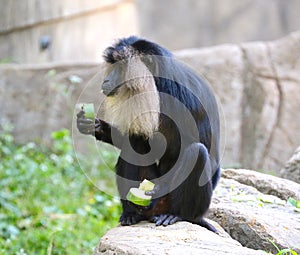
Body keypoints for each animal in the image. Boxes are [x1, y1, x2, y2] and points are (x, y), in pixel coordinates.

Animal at [78, 35, 220, 233]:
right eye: (113, 66)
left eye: (121, 68)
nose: (106, 80)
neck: (158, 86)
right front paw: (96, 127)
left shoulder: (187, 99)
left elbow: (208, 154)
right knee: (134, 143)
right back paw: (132, 213)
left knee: (197, 153)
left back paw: (176, 215)